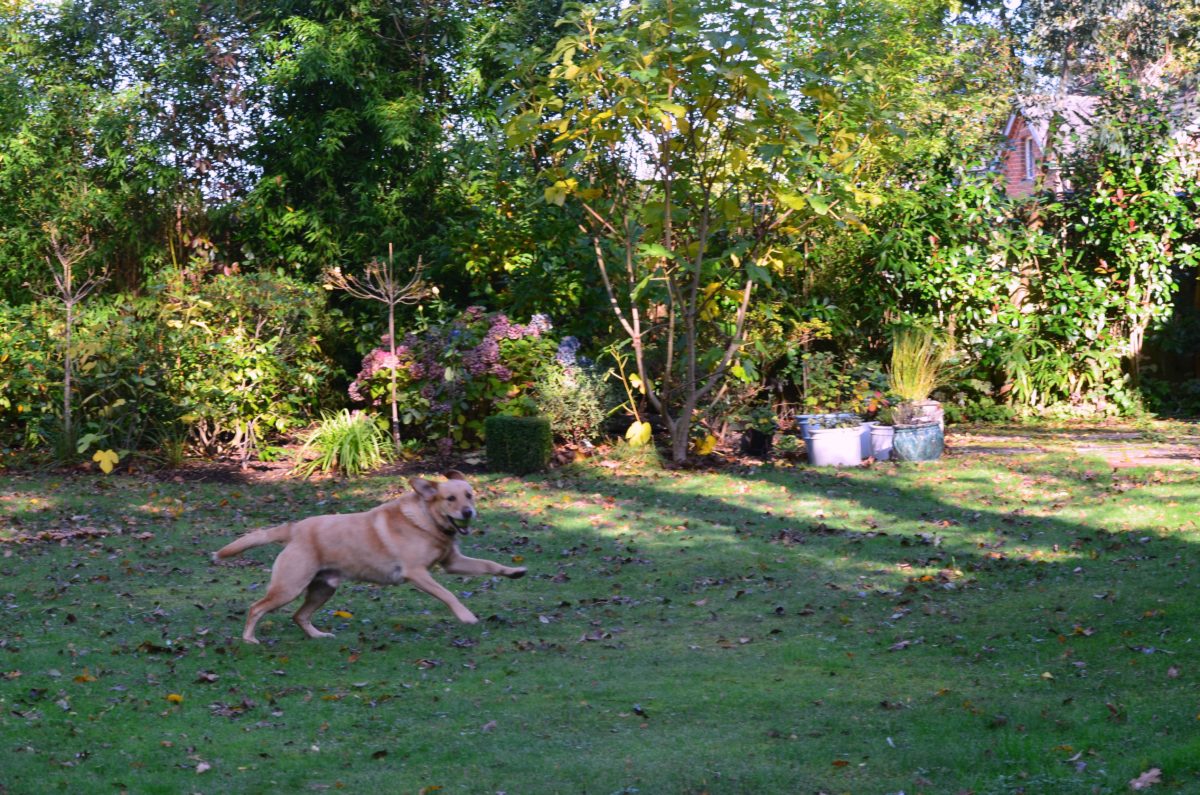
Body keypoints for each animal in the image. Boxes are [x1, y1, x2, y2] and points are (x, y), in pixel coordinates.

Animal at [213, 471, 526, 643]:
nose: (468, 513)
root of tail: (294, 528)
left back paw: (318, 636)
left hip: (323, 588)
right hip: (289, 586)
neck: (426, 520)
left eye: (470, 495)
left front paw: (513, 572)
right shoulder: (416, 572)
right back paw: (249, 639)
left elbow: (488, 564)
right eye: (450, 499)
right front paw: (466, 616)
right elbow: (448, 594)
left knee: (299, 616)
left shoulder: (452, 563)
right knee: (256, 607)